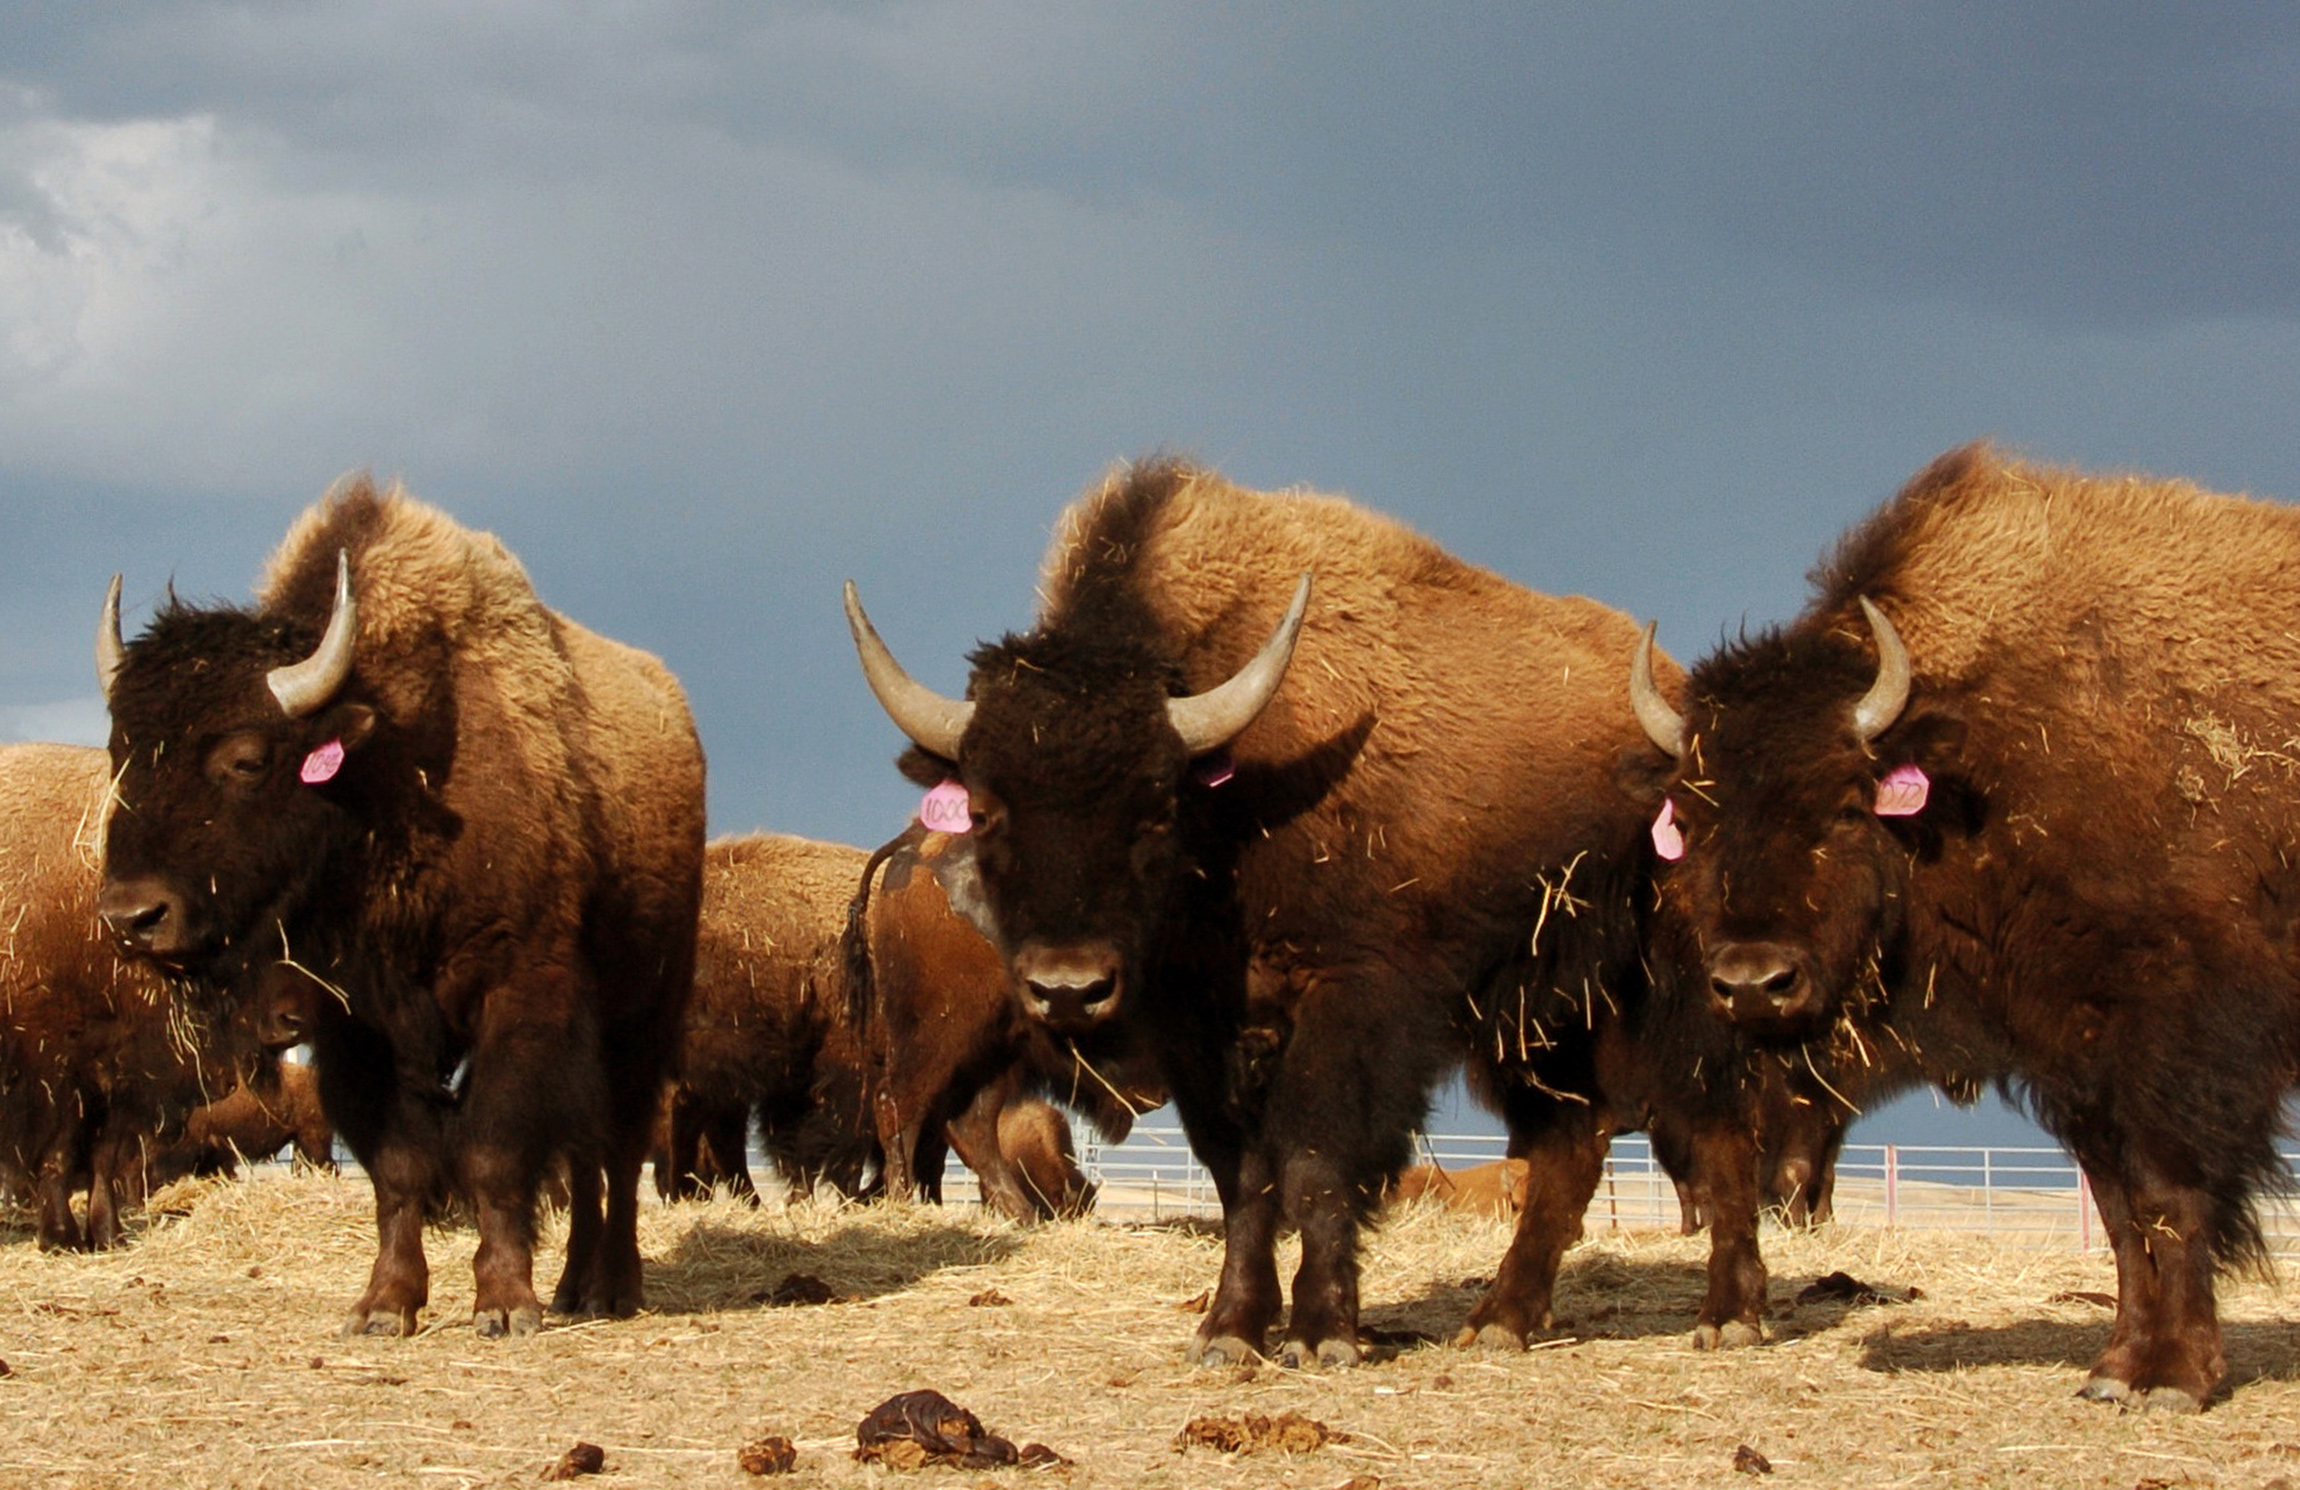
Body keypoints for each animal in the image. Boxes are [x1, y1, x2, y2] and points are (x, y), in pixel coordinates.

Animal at [96, 478, 705, 1337]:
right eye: (119, 752)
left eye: (246, 759)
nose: (132, 918)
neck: (386, 774)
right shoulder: (352, 1028)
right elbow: (399, 1166)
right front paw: (385, 1305)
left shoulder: (517, 995)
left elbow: (494, 1152)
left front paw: (505, 1306)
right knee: (588, 1158)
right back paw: (574, 1287)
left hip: (643, 1013)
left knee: (616, 1148)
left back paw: (612, 1289)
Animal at [846, 459, 1762, 1366]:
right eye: (986, 809)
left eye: (1156, 807)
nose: (1067, 988)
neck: (1238, 791)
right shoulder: (1203, 1037)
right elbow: (1243, 1178)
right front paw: (1230, 1331)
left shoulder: (1347, 1005)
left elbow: (1317, 1160)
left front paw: (1324, 1334)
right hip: (1540, 1021)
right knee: (1569, 1148)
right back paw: (1499, 1322)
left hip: (1672, 994)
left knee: (1717, 1131)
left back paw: (1730, 1316)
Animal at [1629, 443, 2300, 1410]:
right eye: (1692, 816)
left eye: (1846, 806)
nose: (1754, 983)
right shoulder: (2073, 1060)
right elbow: (2120, 1211)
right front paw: (2115, 1370)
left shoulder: (2177, 1051)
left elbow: (2169, 1198)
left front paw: (2176, 1378)